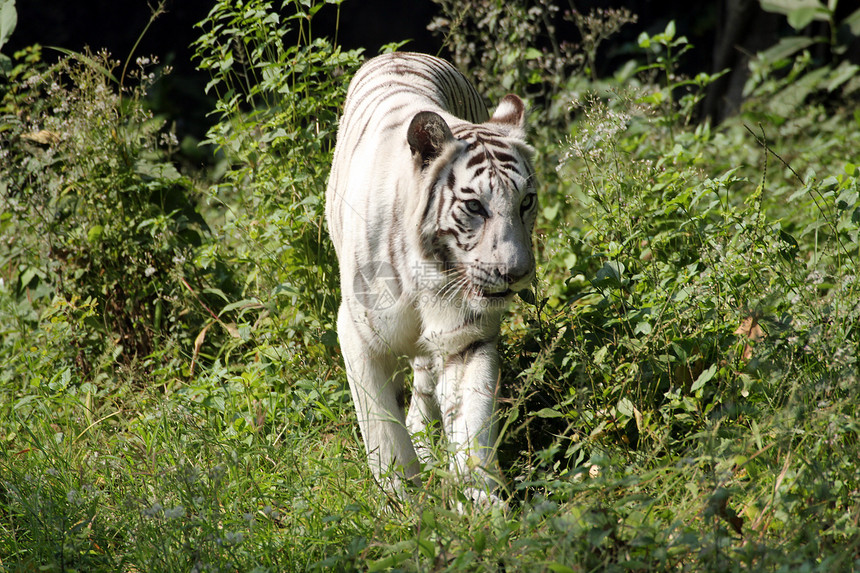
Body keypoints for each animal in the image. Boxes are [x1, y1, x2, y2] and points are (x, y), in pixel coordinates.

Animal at [324, 52, 536, 500]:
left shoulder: (466, 338)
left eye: (526, 201)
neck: (427, 274)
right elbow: (383, 436)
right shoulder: (356, 335)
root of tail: (400, 53)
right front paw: (403, 505)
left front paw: (481, 503)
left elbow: (471, 422)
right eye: (474, 207)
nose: (516, 272)